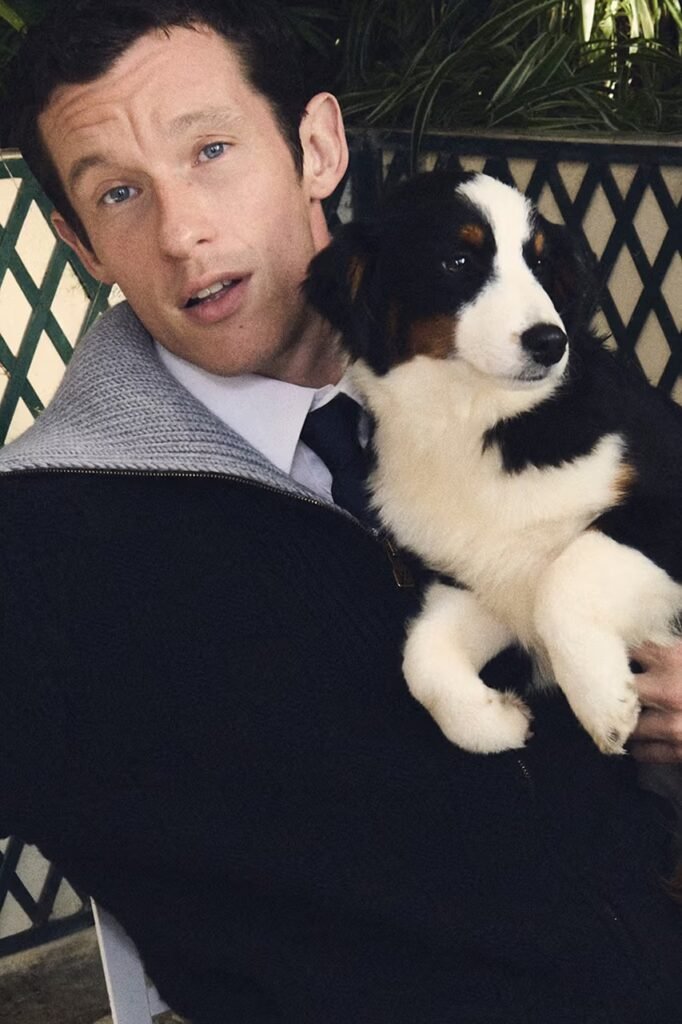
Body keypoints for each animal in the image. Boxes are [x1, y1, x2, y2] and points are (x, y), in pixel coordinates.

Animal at [305, 170, 682, 757]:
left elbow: (567, 574)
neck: (476, 417)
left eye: (541, 264)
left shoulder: (661, 498)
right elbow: (422, 657)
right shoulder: (477, 576)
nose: (551, 343)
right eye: (458, 261)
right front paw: (494, 722)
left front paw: (602, 701)